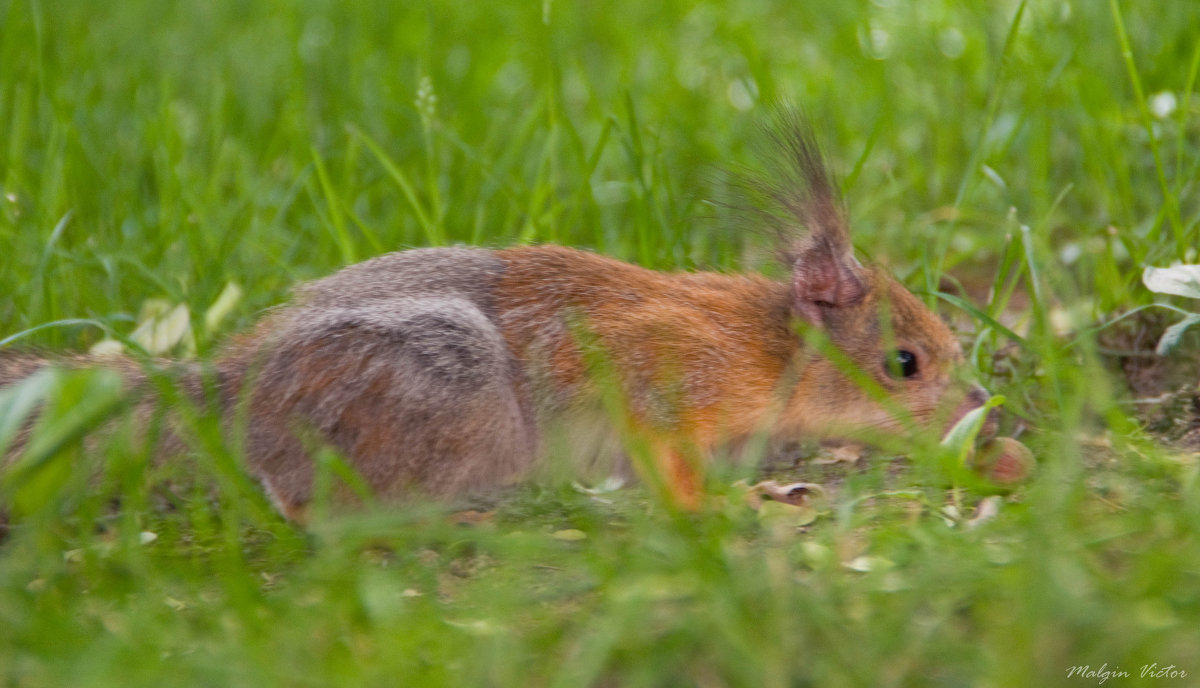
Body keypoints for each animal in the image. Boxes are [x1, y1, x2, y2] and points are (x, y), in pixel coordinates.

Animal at [0, 121, 993, 521]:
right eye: (905, 362)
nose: (976, 409)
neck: (763, 344)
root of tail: (239, 390)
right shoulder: (657, 381)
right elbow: (664, 461)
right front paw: (718, 506)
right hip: (444, 391)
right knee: (312, 503)